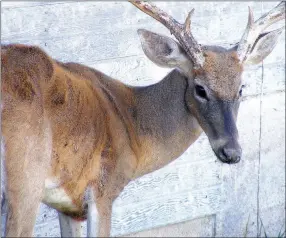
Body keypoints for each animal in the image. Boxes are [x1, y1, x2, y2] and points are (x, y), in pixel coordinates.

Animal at [1, 0, 284, 237]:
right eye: (200, 89)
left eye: (241, 88)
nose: (232, 152)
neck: (132, 127)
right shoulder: (102, 190)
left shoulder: (70, 205)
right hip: (25, 178)